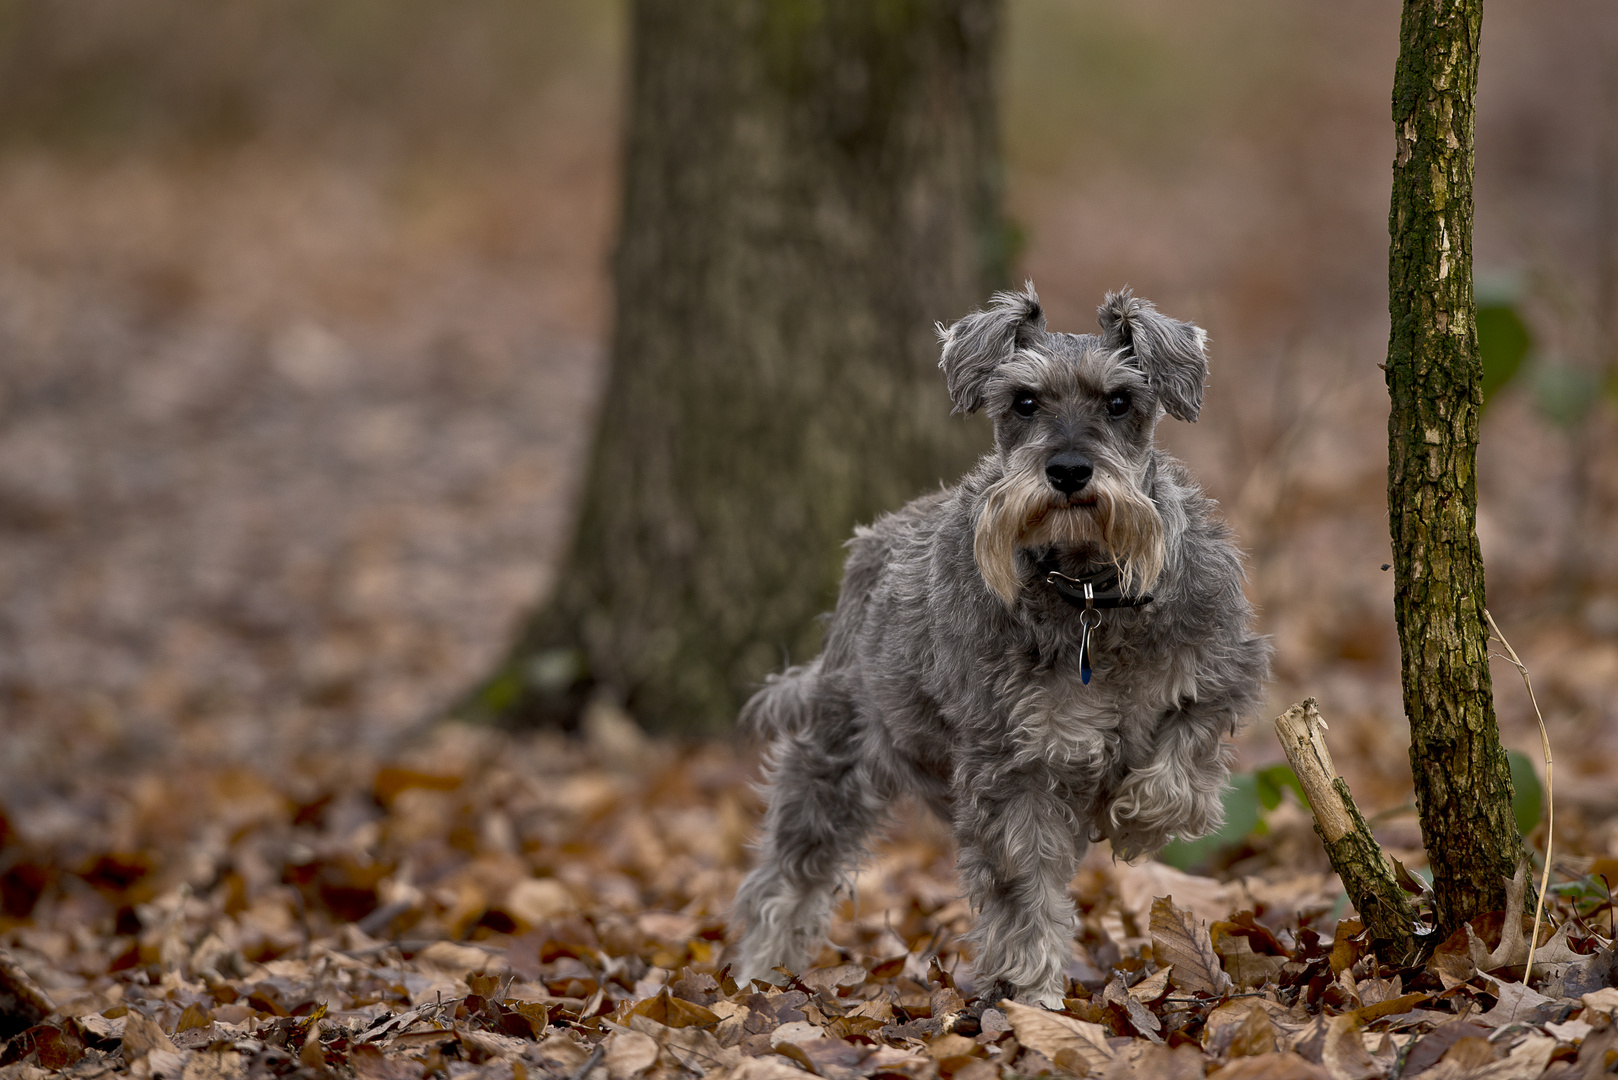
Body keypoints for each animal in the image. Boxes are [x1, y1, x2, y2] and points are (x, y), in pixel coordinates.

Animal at [728, 284, 1268, 1003]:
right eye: (1024, 402)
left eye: (1119, 401)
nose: (1068, 471)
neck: (1088, 596)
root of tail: (867, 546)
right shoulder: (1013, 765)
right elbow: (1024, 891)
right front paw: (1035, 997)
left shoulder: (1220, 674)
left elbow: (1176, 778)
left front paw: (1131, 818)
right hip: (832, 763)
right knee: (784, 883)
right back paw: (756, 979)